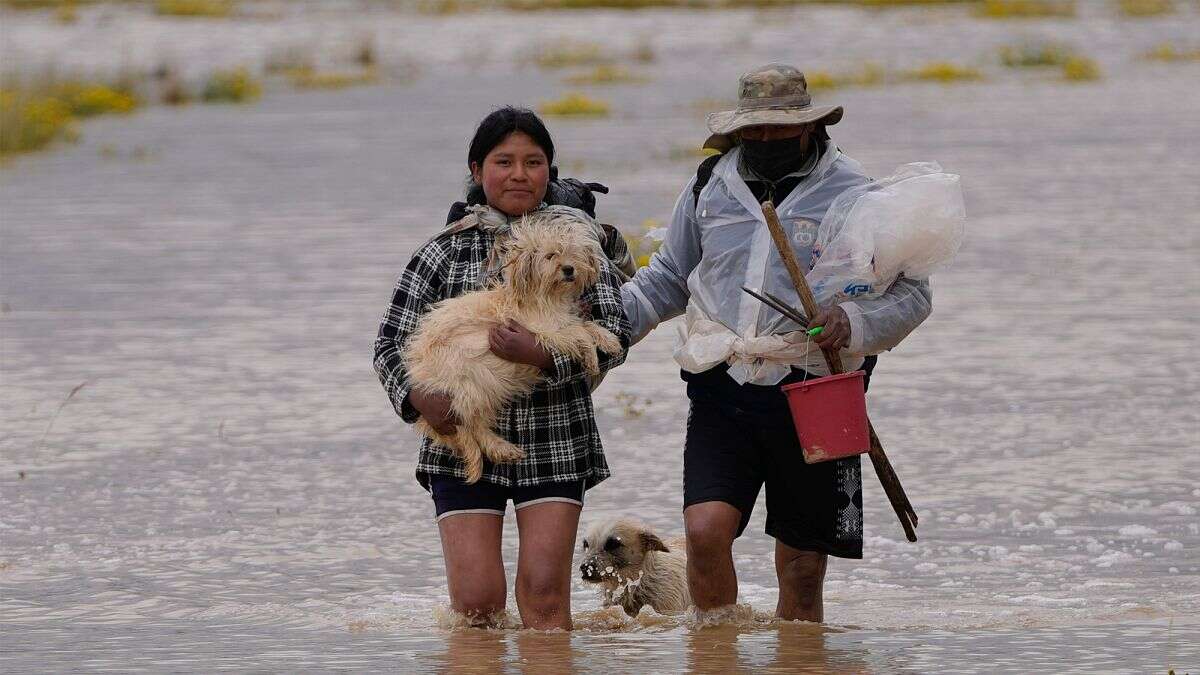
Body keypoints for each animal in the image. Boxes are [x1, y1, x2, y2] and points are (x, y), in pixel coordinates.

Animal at [405, 212, 624, 480]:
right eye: (550, 255)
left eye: (573, 253)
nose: (569, 269)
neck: (546, 297)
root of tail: (421, 376)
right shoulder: (543, 329)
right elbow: (578, 332)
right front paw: (591, 356)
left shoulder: (560, 320)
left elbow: (585, 325)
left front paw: (608, 340)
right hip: (472, 381)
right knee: (470, 424)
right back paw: (501, 447)